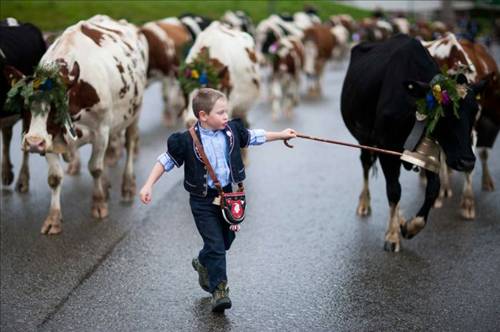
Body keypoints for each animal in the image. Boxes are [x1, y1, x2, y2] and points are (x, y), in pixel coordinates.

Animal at [11, 15, 148, 233]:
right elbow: (54, 177)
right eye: (24, 106)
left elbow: (95, 168)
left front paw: (99, 204)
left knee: (129, 143)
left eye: (55, 107)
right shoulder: (50, 138)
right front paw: (53, 219)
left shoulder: (101, 131)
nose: (33, 143)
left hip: (135, 112)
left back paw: (127, 186)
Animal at [340, 33, 484, 252]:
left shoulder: (431, 152)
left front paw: (410, 226)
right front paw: (392, 236)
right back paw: (364, 204)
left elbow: (433, 189)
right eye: (444, 113)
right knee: (366, 165)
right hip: (364, 138)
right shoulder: (386, 146)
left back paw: (399, 218)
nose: (467, 161)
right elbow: (394, 190)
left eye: (475, 110)